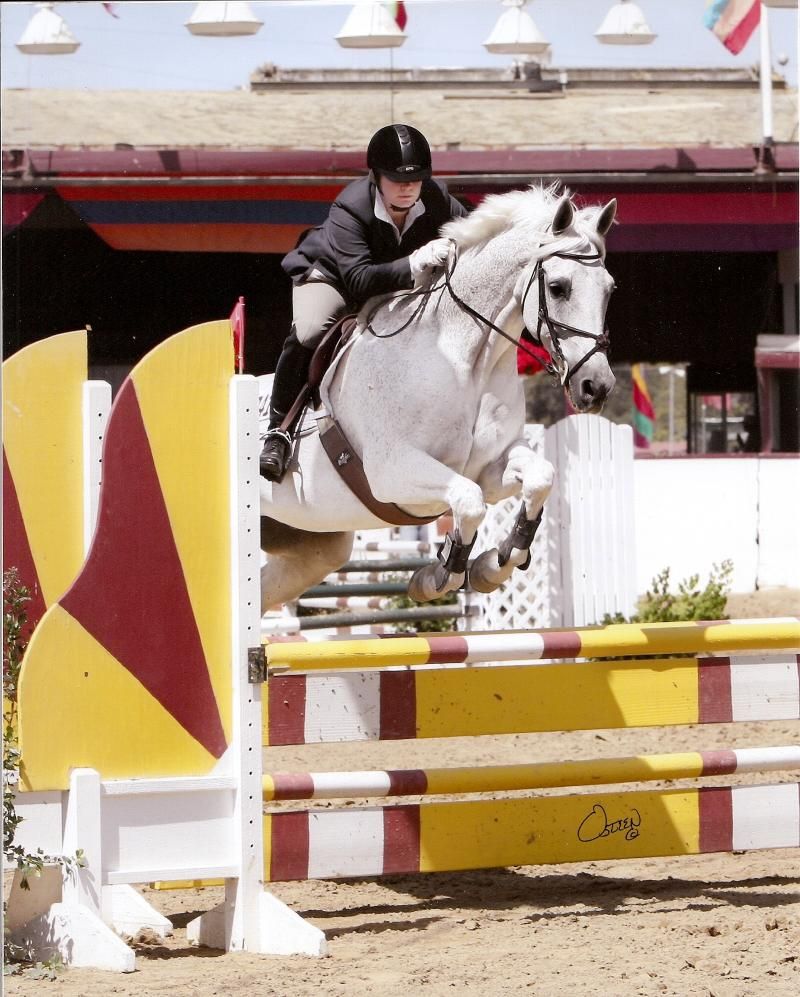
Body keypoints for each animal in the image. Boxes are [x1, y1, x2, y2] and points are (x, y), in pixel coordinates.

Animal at [260, 183, 616, 612]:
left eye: (609, 290)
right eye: (558, 287)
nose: (596, 386)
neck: (466, 360)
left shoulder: (490, 466)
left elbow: (538, 479)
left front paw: (496, 562)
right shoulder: (393, 471)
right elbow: (470, 501)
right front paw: (439, 575)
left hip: (312, 546)